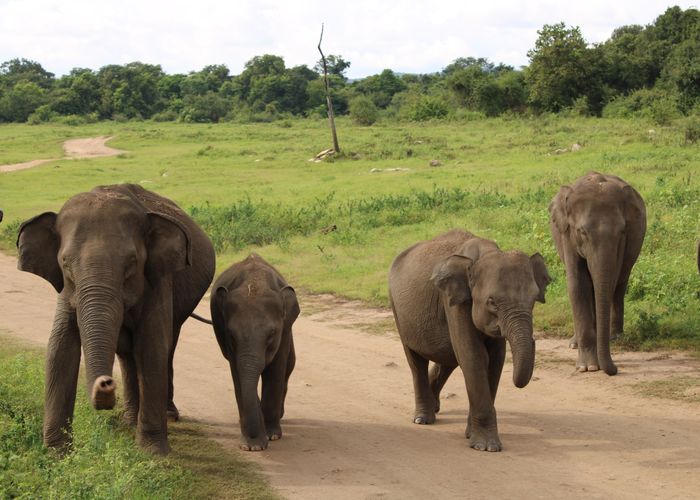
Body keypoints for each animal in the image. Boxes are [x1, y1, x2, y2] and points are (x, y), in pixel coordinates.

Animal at [19, 183, 216, 454]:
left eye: (131, 263)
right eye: (66, 263)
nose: (105, 382)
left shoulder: (157, 279)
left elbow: (151, 346)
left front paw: (153, 452)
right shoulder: (67, 290)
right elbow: (60, 347)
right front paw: (57, 453)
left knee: (167, 344)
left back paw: (168, 415)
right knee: (128, 354)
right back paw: (130, 420)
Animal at [209, 256, 300, 452]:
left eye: (272, 334)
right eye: (231, 335)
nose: (259, 441)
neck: (255, 282)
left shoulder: (284, 330)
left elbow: (276, 370)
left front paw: (272, 435)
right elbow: (238, 376)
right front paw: (253, 446)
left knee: (289, 365)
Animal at [392, 230, 548, 454]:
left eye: (535, 299)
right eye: (492, 302)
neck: (484, 253)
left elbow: (495, 360)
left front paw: (471, 435)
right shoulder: (454, 302)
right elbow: (474, 356)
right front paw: (486, 447)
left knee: (448, 359)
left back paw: (434, 405)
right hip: (398, 312)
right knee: (416, 360)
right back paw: (423, 418)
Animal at [548, 172, 648, 376]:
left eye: (622, 231)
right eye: (582, 232)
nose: (615, 369)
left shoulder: (623, 243)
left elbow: (608, 282)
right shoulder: (567, 235)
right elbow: (578, 285)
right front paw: (588, 367)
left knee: (619, 284)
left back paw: (614, 336)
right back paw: (574, 343)